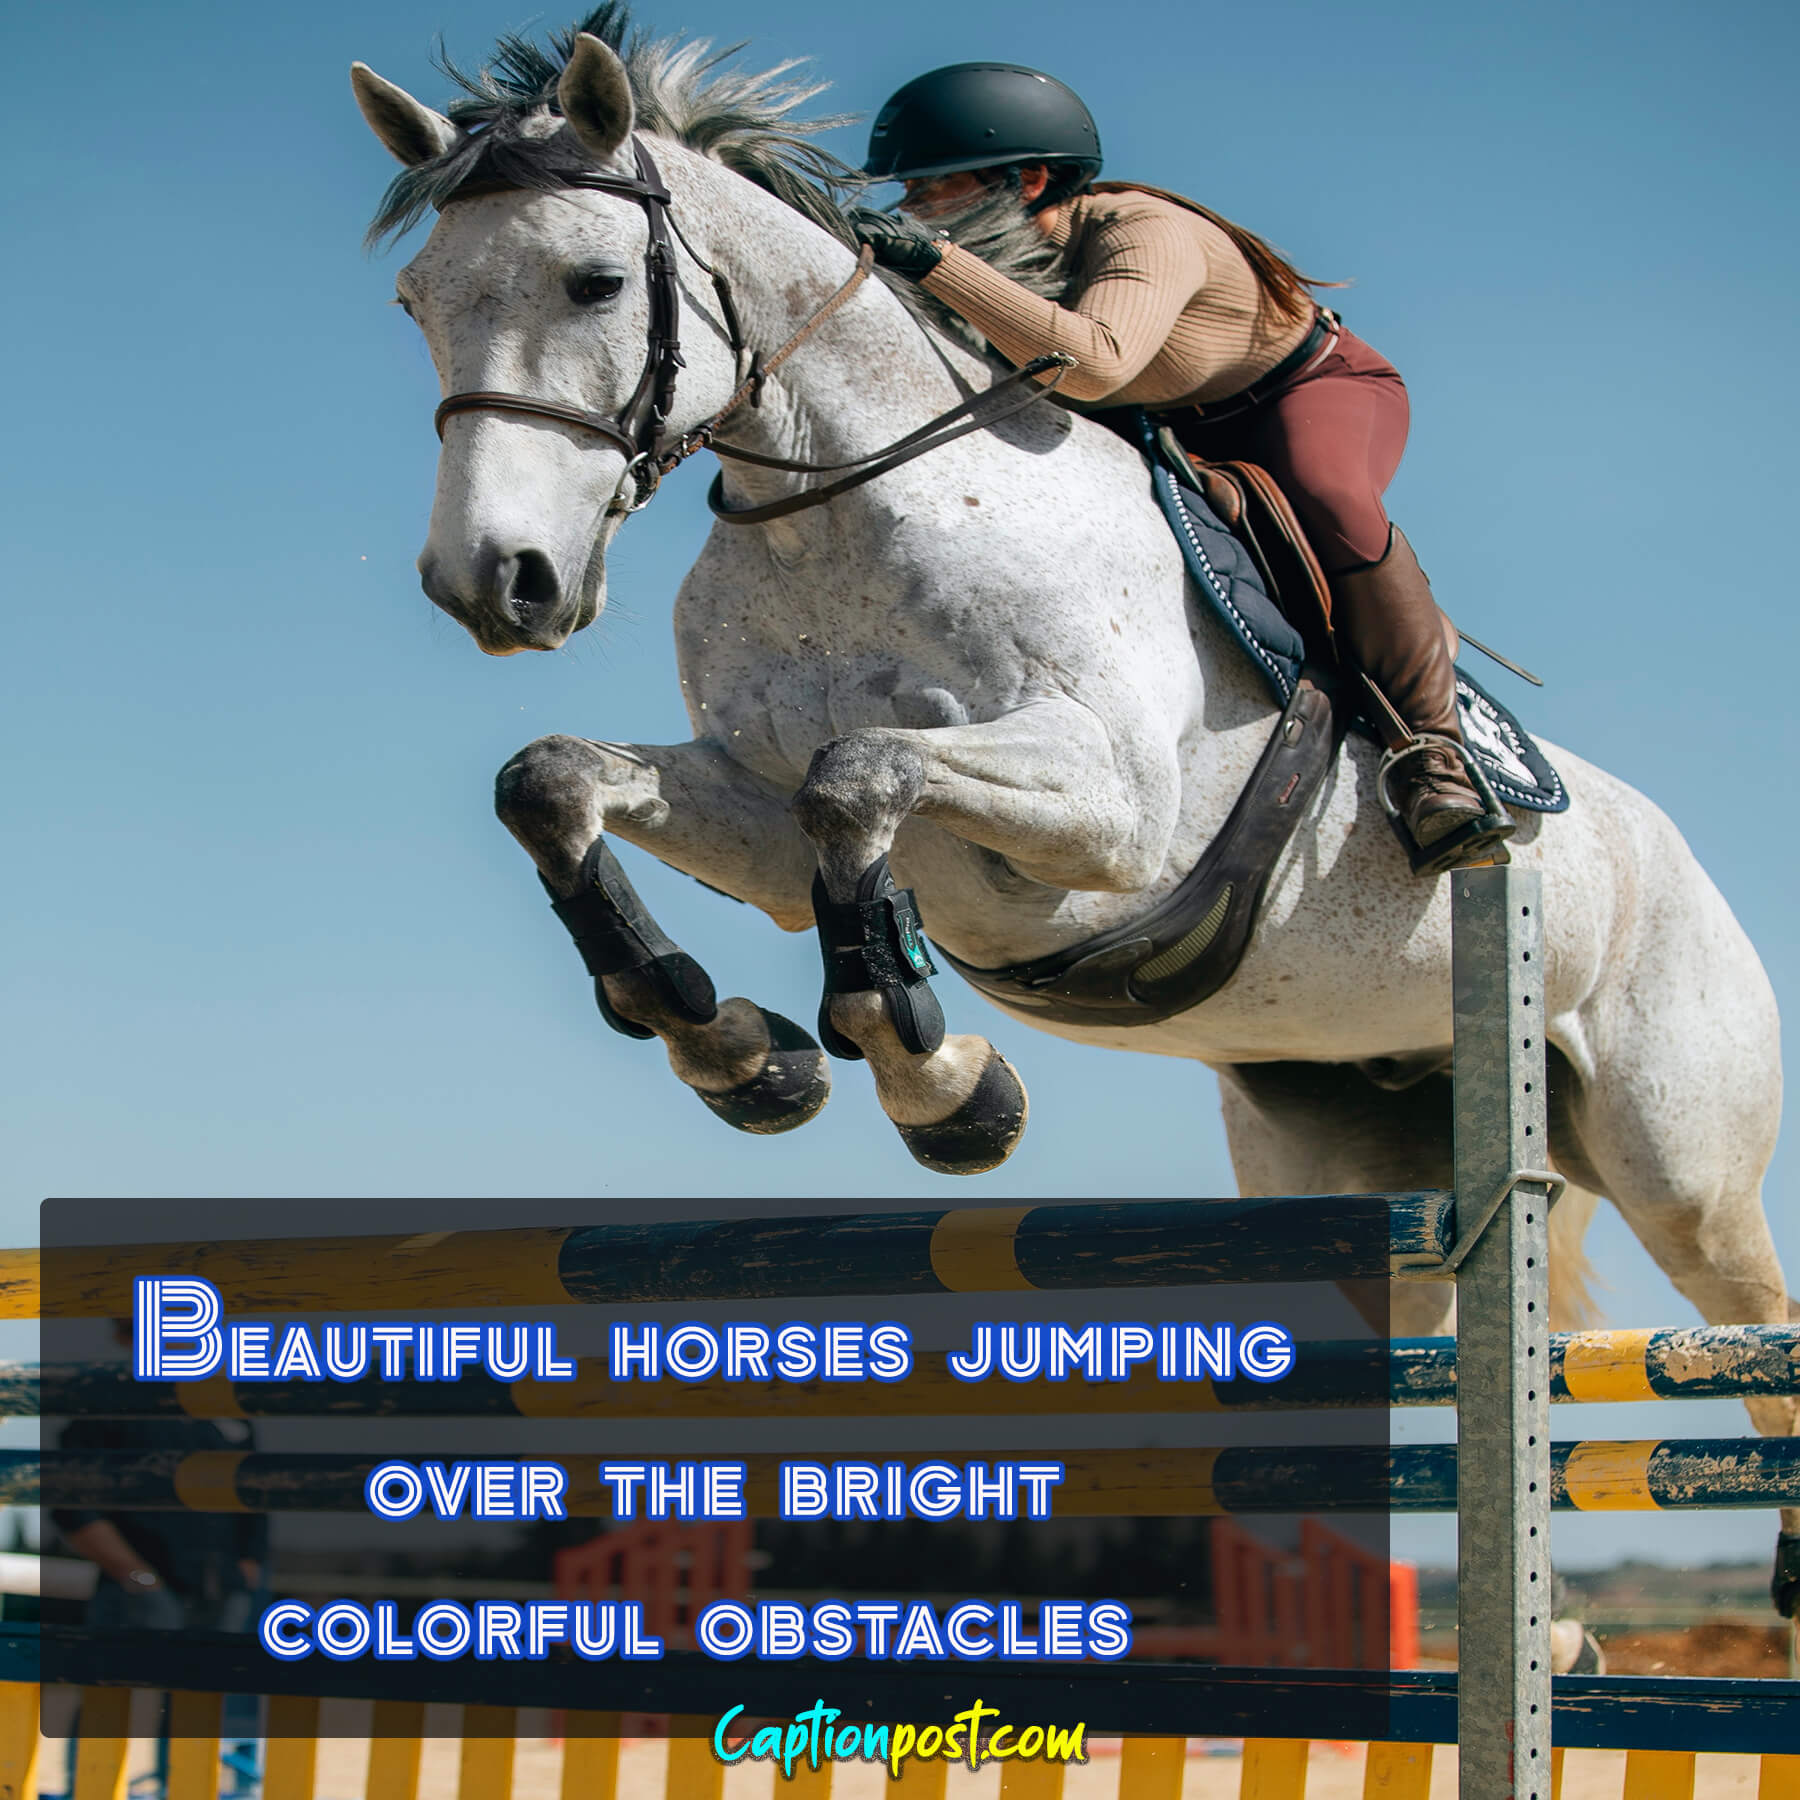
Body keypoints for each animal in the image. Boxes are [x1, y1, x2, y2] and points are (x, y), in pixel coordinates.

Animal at [350, 13, 1797, 1610]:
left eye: (595, 281)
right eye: (417, 301)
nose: (497, 584)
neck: (847, 510)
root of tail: (1669, 850)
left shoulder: (1107, 814)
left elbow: (861, 772)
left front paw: (939, 1083)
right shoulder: (756, 812)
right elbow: (557, 781)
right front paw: (737, 1049)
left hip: (1684, 1165)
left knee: (1750, 1324)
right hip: (1357, 1166)